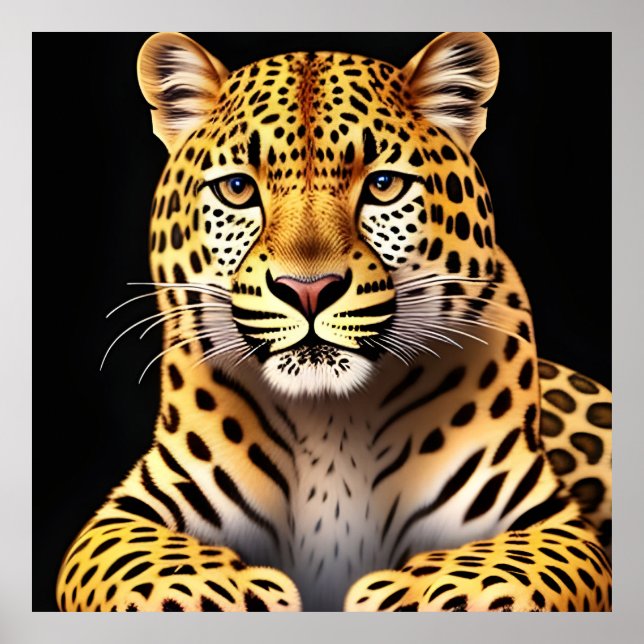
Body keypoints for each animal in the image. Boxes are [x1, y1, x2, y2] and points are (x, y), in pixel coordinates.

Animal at [56, 31, 612, 612]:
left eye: (384, 185)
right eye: (237, 189)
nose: (308, 290)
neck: (331, 420)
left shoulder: (549, 520)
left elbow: (502, 575)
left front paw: (419, 593)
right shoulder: (127, 513)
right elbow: (148, 573)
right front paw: (222, 592)